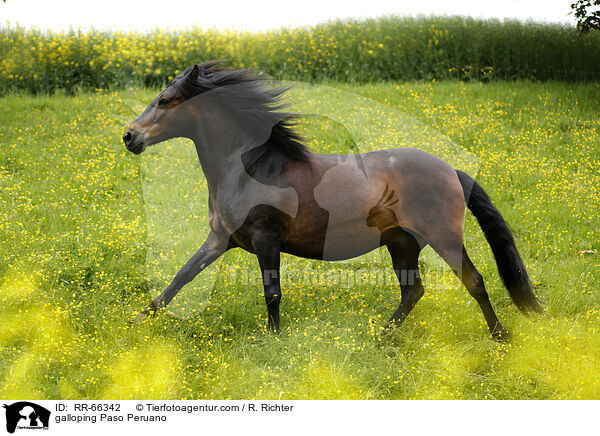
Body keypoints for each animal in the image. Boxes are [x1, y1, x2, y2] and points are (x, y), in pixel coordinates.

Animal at [123, 61, 544, 338]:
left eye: (165, 100)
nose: (129, 137)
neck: (250, 169)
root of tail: (452, 171)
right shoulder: (220, 239)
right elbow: (181, 277)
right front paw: (139, 318)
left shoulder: (265, 238)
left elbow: (272, 292)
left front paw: (275, 341)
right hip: (402, 243)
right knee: (413, 291)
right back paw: (381, 337)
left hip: (444, 237)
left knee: (474, 281)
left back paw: (500, 337)